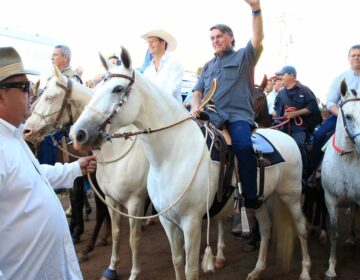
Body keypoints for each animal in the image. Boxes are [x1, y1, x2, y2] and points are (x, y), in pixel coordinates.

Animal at [23, 67, 149, 280]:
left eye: (49, 97)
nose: (27, 130)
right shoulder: (99, 187)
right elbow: (93, 208)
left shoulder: (133, 199)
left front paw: (86, 241)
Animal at [69, 48, 310, 280]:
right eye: (98, 86)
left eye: (117, 88)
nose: (78, 133)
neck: (173, 156)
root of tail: (286, 137)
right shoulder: (167, 221)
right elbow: (177, 262)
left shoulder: (190, 222)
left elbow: (190, 269)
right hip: (259, 199)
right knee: (267, 229)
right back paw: (257, 271)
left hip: (291, 196)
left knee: (301, 229)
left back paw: (305, 272)